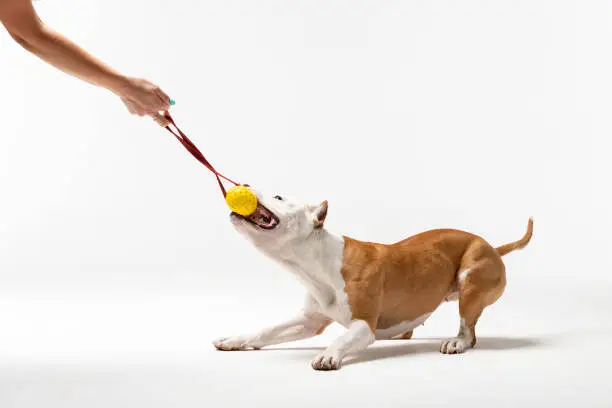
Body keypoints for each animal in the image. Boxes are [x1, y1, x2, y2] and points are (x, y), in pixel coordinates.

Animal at [214, 186, 532, 372]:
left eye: (279, 197)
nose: (243, 185)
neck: (317, 261)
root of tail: (493, 247)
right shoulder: (309, 320)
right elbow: (266, 331)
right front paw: (235, 339)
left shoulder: (364, 324)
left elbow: (342, 337)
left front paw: (329, 355)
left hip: (471, 280)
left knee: (470, 331)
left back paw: (456, 342)